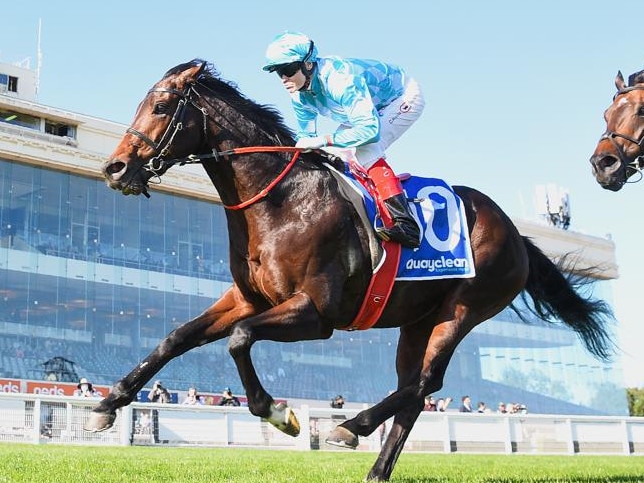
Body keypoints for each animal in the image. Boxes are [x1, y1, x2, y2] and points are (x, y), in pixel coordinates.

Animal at [89, 59, 612, 480]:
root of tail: (517, 234)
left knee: (425, 383)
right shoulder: (246, 298)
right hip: (416, 322)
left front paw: (278, 413)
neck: (280, 202)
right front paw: (108, 403)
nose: (115, 169)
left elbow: (239, 339)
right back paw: (376, 469)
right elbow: (175, 338)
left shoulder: (317, 314)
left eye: (161, 106)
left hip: (463, 308)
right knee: (413, 392)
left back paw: (350, 426)